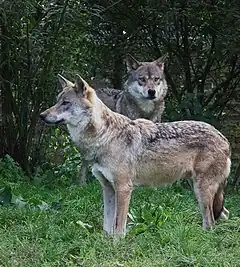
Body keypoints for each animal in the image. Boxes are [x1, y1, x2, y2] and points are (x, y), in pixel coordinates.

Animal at [39, 75, 231, 239]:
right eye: (57, 101)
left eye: (65, 103)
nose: (41, 115)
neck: (104, 136)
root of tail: (223, 137)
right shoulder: (108, 188)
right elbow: (107, 225)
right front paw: (105, 244)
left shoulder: (124, 188)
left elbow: (118, 226)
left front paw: (116, 246)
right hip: (198, 189)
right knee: (223, 215)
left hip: (202, 191)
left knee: (210, 222)